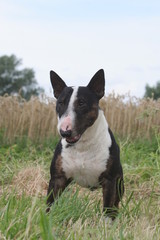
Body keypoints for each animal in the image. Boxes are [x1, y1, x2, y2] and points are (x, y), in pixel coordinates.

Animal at [46, 69, 124, 219]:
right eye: (60, 103)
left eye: (81, 103)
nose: (65, 132)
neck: (83, 145)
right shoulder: (58, 179)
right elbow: (50, 204)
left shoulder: (110, 181)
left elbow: (108, 210)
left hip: (120, 184)